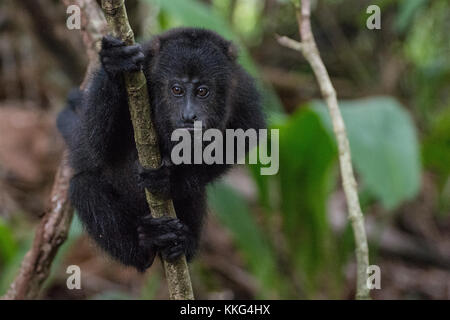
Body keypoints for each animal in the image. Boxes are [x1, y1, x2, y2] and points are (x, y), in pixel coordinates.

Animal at [58, 27, 266, 272]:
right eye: (176, 89)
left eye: (202, 91)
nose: (189, 115)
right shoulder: (141, 69)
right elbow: (94, 145)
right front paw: (115, 63)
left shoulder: (242, 91)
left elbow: (244, 136)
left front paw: (170, 179)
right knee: (83, 185)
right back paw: (145, 245)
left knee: (195, 190)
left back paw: (184, 243)